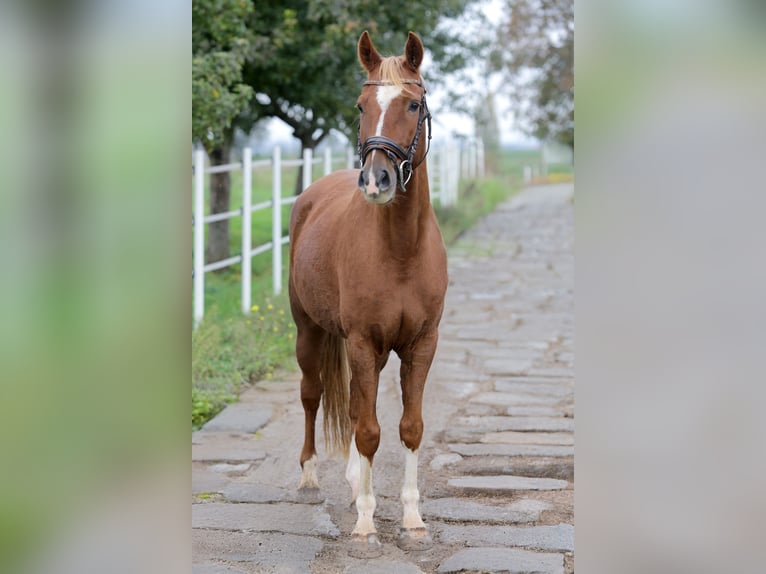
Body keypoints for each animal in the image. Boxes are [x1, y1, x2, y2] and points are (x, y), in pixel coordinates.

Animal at [290, 30, 450, 552]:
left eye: (413, 104)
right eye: (361, 106)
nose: (376, 179)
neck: (400, 249)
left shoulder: (421, 344)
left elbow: (408, 428)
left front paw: (413, 519)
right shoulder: (361, 342)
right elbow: (368, 432)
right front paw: (364, 522)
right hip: (309, 332)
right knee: (313, 395)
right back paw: (310, 475)